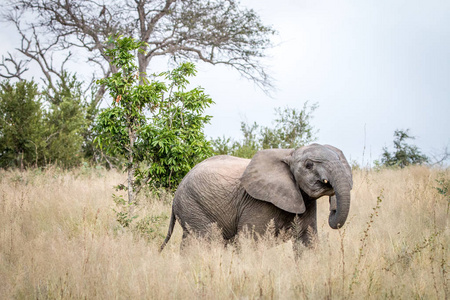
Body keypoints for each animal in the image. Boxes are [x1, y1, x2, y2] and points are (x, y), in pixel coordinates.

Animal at [160, 144, 354, 252]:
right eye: (308, 165)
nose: (333, 206)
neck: (289, 153)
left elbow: (307, 242)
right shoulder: (257, 202)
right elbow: (250, 241)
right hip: (194, 206)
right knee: (206, 241)